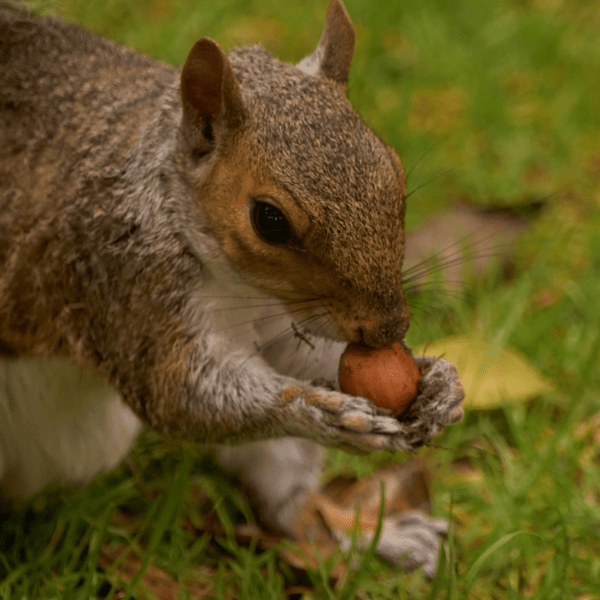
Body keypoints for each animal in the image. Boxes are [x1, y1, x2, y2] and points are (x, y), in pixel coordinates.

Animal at [0, 0, 463, 574]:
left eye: (395, 172)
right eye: (269, 219)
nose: (389, 329)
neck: (241, 286)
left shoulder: (285, 321)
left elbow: (302, 358)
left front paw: (439, 382)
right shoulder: (118, 284)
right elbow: (180, 395)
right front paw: (316, 410)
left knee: (287, 504)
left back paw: (367, 535)